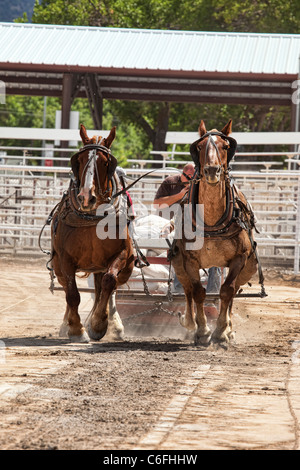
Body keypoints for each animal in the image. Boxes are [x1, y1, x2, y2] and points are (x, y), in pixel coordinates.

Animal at [50, 125, 134, 344]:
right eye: (79, 160)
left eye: (106, 162)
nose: (86, 197)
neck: (92, 218)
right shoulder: (65, 259)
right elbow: (72, 294)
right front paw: (76, 330)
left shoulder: (122, 255)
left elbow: (109, 281)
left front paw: (98, 324)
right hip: (58, 267)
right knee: (68, 289)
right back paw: (67, 324)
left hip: (125, 267)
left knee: (108, 288)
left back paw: (114, 324)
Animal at [170, 118, 262, 346]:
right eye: (200, 147)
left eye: (226, 146)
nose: (212, 170)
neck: (212, 222)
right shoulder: (190, 261)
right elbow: (198, 292)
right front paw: (202, 331)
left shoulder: (239, 258)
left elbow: (227, 291)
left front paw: (221, 331)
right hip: (178, 264)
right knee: (187, 290)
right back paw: (189, 322)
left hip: (249, 267)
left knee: (234, 290)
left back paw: (228, 328)